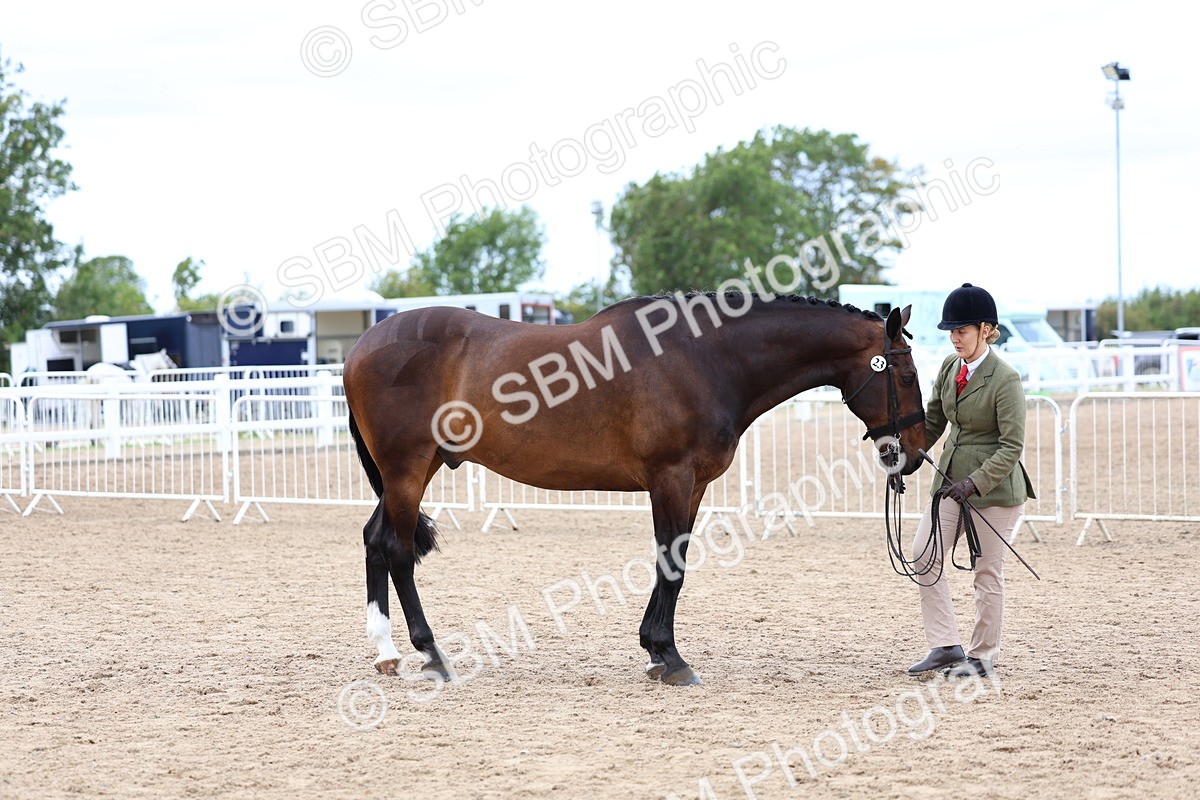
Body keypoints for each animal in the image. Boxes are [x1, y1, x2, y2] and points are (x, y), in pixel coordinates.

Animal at [343, 292, 927, 686]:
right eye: (905, 376)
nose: (917, 452)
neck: (704, 359)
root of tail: (359, 348)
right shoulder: (671, 478)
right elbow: (671, 564)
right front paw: (669, 657)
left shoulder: (692, 487)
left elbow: (675, 561)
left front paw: (654, 650)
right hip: (407, 469)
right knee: (396, 549)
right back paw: (431, 655)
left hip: (414, 472)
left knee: (374, 539)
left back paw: (386, 652)